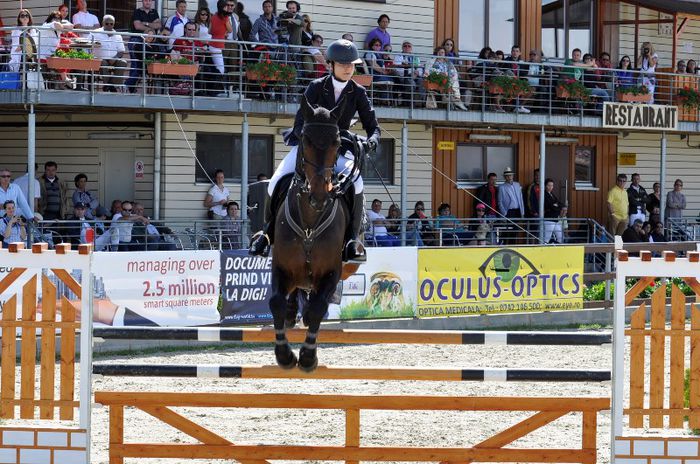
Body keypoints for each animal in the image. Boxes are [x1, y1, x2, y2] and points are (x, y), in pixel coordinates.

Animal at [270, 95, 352, 374]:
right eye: (305, 140)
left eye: (337, 143)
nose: (319, 195)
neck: (309, 221)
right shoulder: (279, 266)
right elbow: (276, 301)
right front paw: (284, 355)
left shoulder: (333, 271)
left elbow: (317, 308)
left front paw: (307, 357)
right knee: (292, 296)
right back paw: (292, 313)